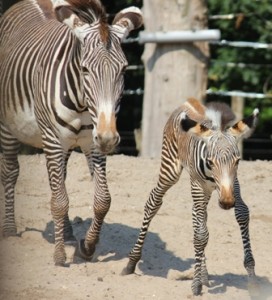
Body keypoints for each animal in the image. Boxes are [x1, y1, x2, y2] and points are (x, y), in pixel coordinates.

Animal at [0, 0, 143, 268]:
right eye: (85, 69)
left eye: (123, 69)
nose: (109, 138)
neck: (81, 102)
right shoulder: (53, 139)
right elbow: (58, 201)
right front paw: (59, 257)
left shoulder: (92, 142)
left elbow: (102, 200)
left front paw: (86, 247)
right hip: (9, 127)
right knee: (11, 173)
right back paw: (10, 230)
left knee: (59, 180)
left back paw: (66, 234)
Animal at [123, 98, 260, 296]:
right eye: (210, 161)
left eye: (237, 161)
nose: (227, 202)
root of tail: (188, 102)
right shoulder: (197, 184)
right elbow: (201, 235)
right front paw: (195, 285)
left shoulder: (233, 183)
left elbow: (241, 213)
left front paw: (252, 279)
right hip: (171, 170)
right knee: (154, 202)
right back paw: (131, 262)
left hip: (205, 191)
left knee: (198, 217)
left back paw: (204, 274)